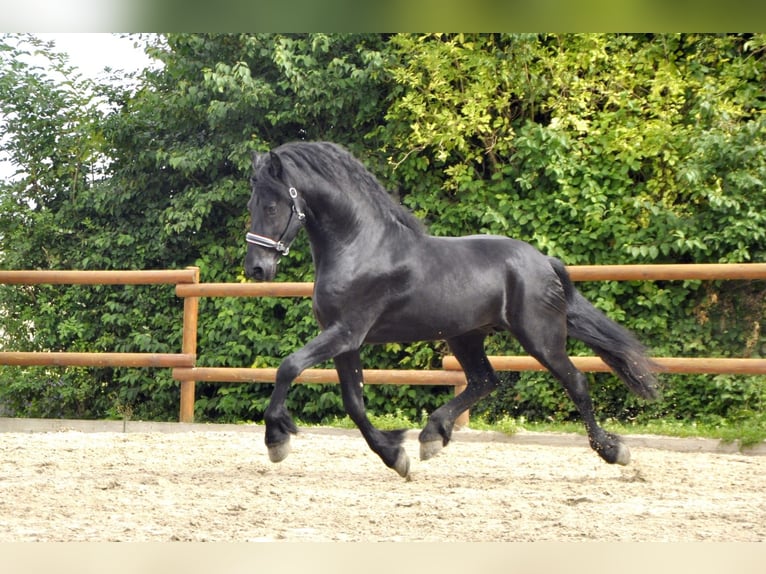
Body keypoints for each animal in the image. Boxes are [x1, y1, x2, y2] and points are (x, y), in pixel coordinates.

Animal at [244, 142, 660, 480]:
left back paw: (613, 450)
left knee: (574, 381)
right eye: (252, 205)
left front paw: (276, 440)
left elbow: (289, 366)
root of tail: (543, 260)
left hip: (540, 337)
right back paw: (432, 435)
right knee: (484, 380)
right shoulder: (346, 341)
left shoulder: (347, 331)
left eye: (272, 205)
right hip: (466, 336)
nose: (256, 269)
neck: (359, 246)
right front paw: (395, 456)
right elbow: (354, 403)